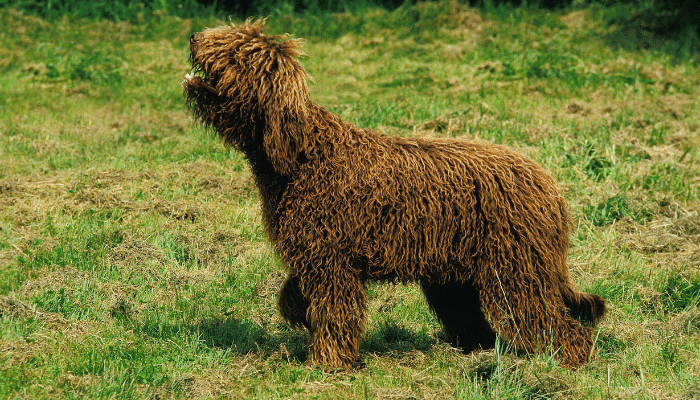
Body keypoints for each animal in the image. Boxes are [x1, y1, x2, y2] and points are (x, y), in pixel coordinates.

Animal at [183, 18, 604, 368]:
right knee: (478, 325)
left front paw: (325, 364)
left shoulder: (332, 261)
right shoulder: (314, 254)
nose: (194, 36)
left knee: (555, 325)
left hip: (516, 272)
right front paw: (296, 309)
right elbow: (297, 292)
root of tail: (549, 186)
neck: (303, 154)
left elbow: (335, 313)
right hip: (454, 277)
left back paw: (563, 364)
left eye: (235, 50)